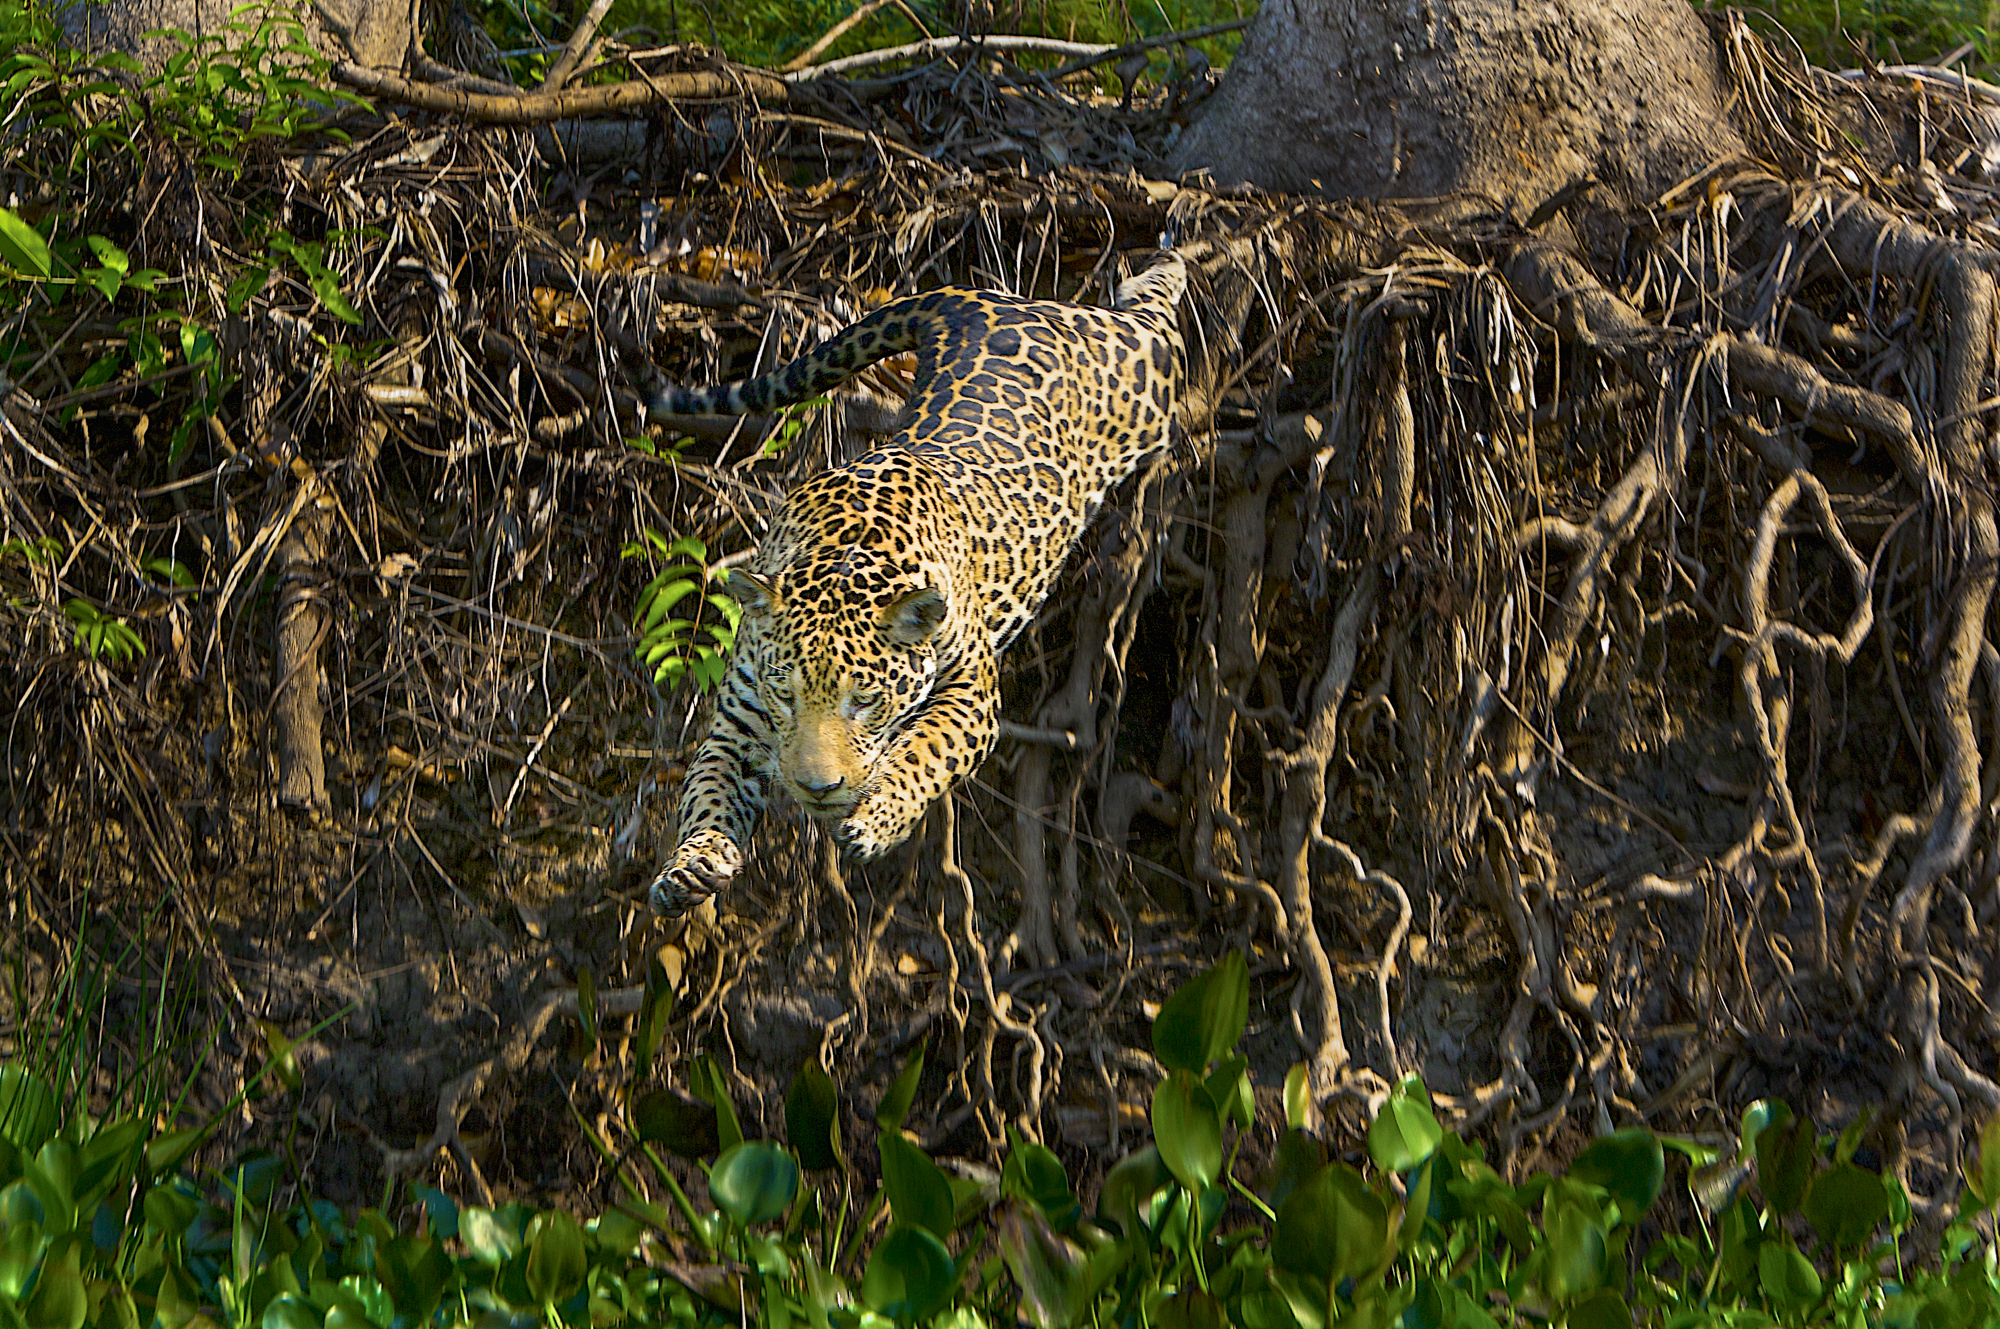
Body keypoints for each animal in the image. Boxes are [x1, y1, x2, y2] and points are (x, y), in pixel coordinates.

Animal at [644, 251, 1188, 917]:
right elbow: (707, 788)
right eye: (787, 696)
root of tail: (972, 300)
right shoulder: (739, 718)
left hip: (1145, 384)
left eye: (864, 702)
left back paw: (1166, 267)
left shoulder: (972, 694)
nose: (816, 788)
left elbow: (923, 753)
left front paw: (875, 818)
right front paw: (691, 864)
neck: (844, 554)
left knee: (1153, 323)